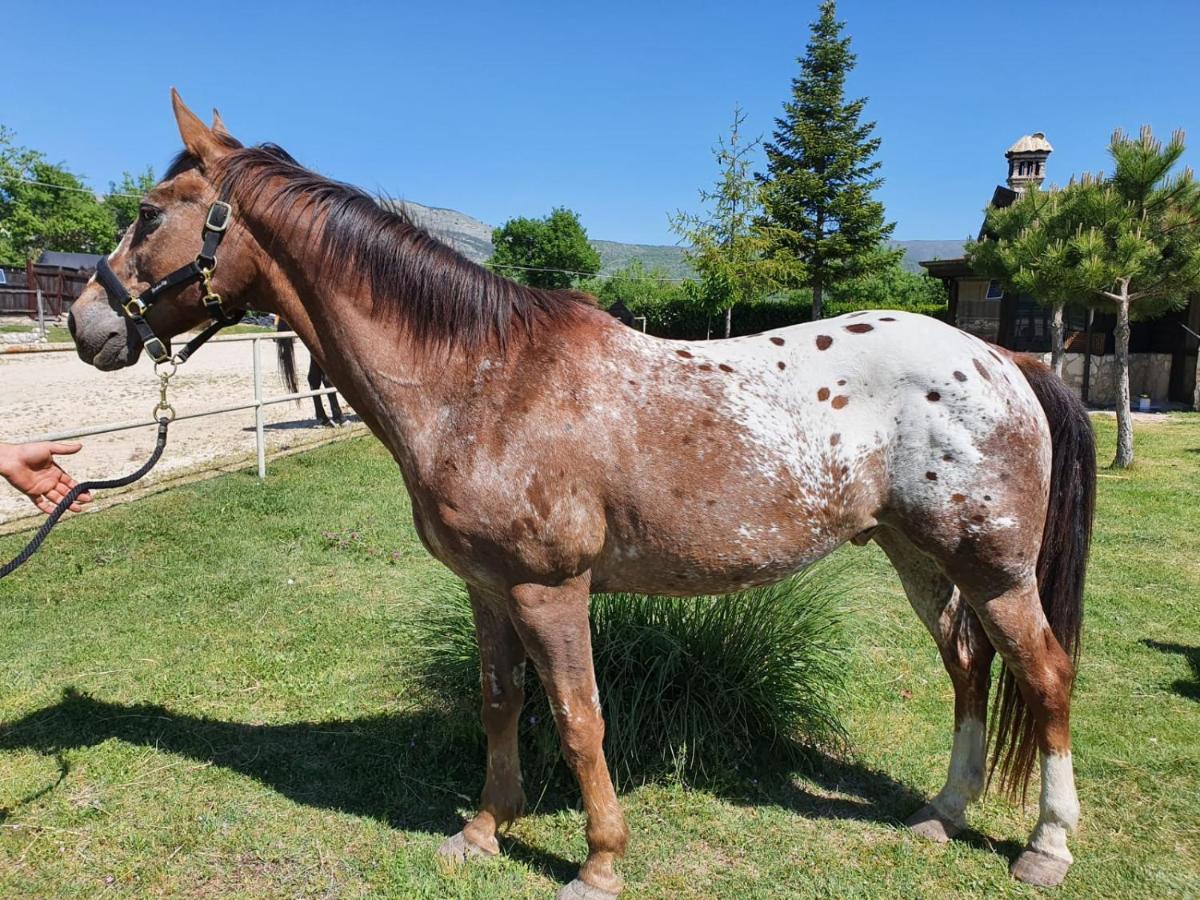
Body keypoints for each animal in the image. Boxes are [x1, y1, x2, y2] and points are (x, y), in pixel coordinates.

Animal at [68, 93, 1099, 900]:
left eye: (150, 212)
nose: (86, 324)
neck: (482, 381)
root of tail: (1000, 357)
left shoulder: (549, 590)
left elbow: (578, 717)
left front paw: (599, 864)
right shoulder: (486, 589)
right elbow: (499, 701)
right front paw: (485, 831)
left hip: (993, 566)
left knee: (1045, 675)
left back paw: (1045, 847)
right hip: (918, 556)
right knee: (968, 666)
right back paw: (941, 815)